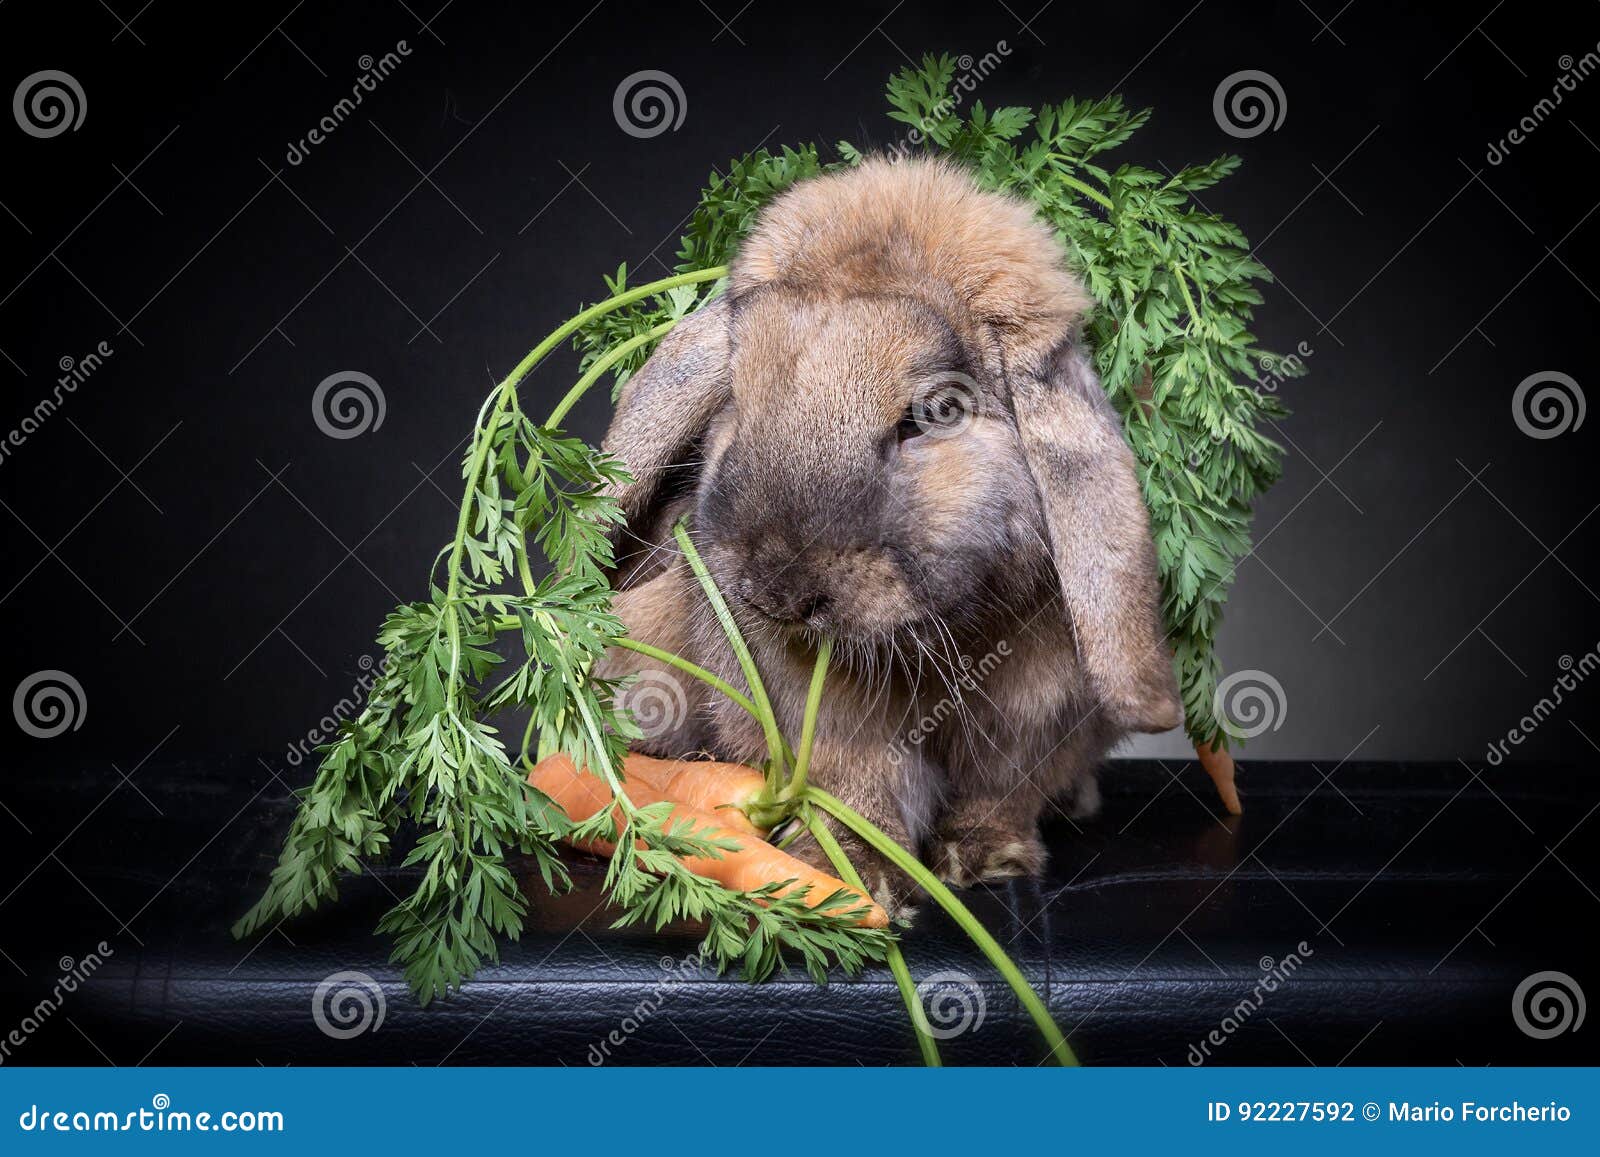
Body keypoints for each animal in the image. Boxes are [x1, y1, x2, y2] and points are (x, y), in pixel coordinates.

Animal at [595, 156, 1184, 915]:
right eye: (739, 399)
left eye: (936, 413)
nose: (775, 591)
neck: (946, 637)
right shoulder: (825, 723)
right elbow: (856, 787)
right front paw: (856, 876)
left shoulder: (1036, 719)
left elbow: (1002, 793)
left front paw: (986, 861)